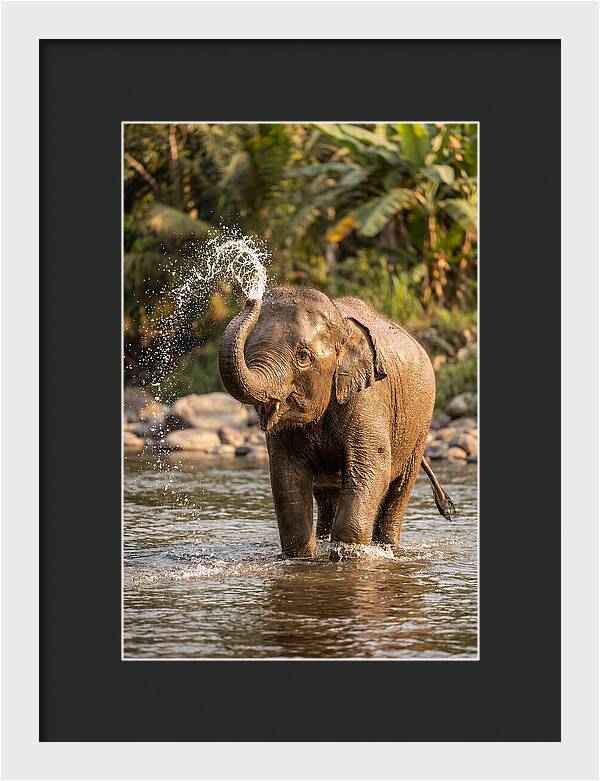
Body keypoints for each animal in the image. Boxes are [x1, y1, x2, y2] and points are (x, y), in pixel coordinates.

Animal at [219, 286, 455, 558]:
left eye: (303, 356)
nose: (251, 298)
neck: (342, 326)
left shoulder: (368, 398)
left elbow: (372, 468)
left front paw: (347, 554)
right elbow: (286, 477)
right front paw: (302, 557)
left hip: (420, 425)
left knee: (399, 489)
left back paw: (388, 547)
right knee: (327, 494)